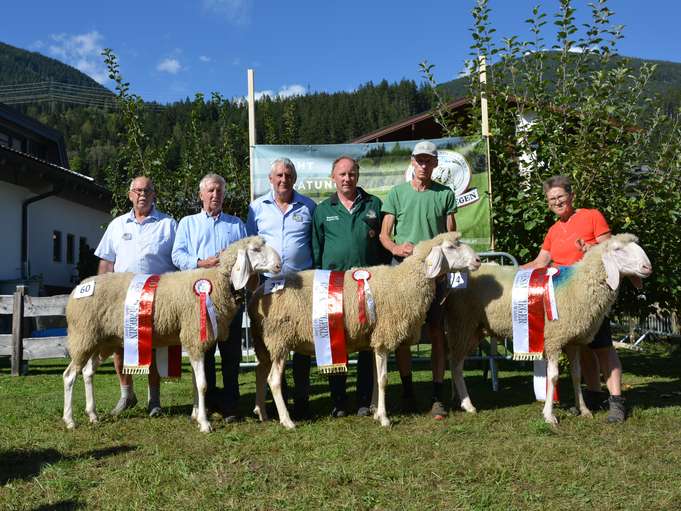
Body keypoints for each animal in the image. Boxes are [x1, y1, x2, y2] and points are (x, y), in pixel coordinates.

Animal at [61, 236, 278, 432]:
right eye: (256, 249)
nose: (278, 265)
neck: (217, 282)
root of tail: (77, 290)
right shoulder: (194, 336)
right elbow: (202, 384)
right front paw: (204, 423)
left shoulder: (193, 340)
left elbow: (195, 383)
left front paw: (195, 415)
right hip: (83, 336)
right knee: (69, 375)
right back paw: (70, 421)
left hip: (101, 342)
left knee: (87, 372)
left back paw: (93, 415)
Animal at [247, 231, 480, 428]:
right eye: (451, 246)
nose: (478, 260)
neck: (403, 283)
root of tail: (257, 295)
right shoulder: (384, 336)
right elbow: (383, 379)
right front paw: (384, 419)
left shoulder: (376, 340)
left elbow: (377, 379)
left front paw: (376, 412)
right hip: (279, 339)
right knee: (273, 380)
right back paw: (287, 421)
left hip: (262, 341)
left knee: (260, 372)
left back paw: (262, 413)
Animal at [444, 234, 652, 426]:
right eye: (617, 249)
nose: (647, 268)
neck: (579, 284)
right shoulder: (554, 339)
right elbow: (552, 377)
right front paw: (549, 415)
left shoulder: (572, 340)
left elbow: (577, 375)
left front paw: (583, 409)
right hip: (463, 324)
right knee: (455, 364)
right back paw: (468, 404)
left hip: (475, 329)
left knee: (455, 363)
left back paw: (458, 398)